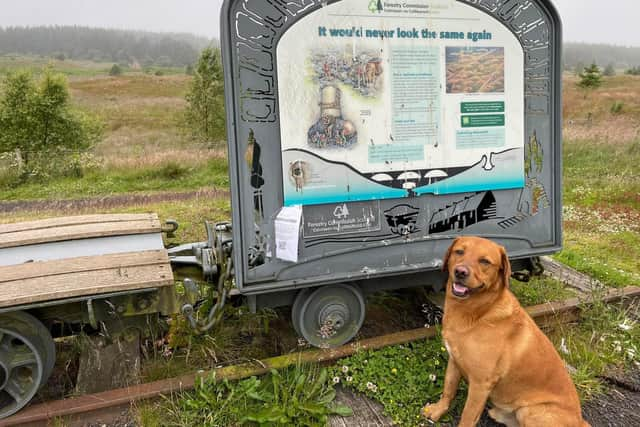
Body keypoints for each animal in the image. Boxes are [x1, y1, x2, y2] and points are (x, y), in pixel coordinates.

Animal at [422, 237, 588, 427]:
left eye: (485, 261)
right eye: (459, 251)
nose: (460, 272)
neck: (478, 312)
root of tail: (580, 421)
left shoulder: (481, 384)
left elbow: (467, 417)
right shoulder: (454, 360)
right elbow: (448, 389)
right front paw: (438, 410)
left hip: (528, 411)